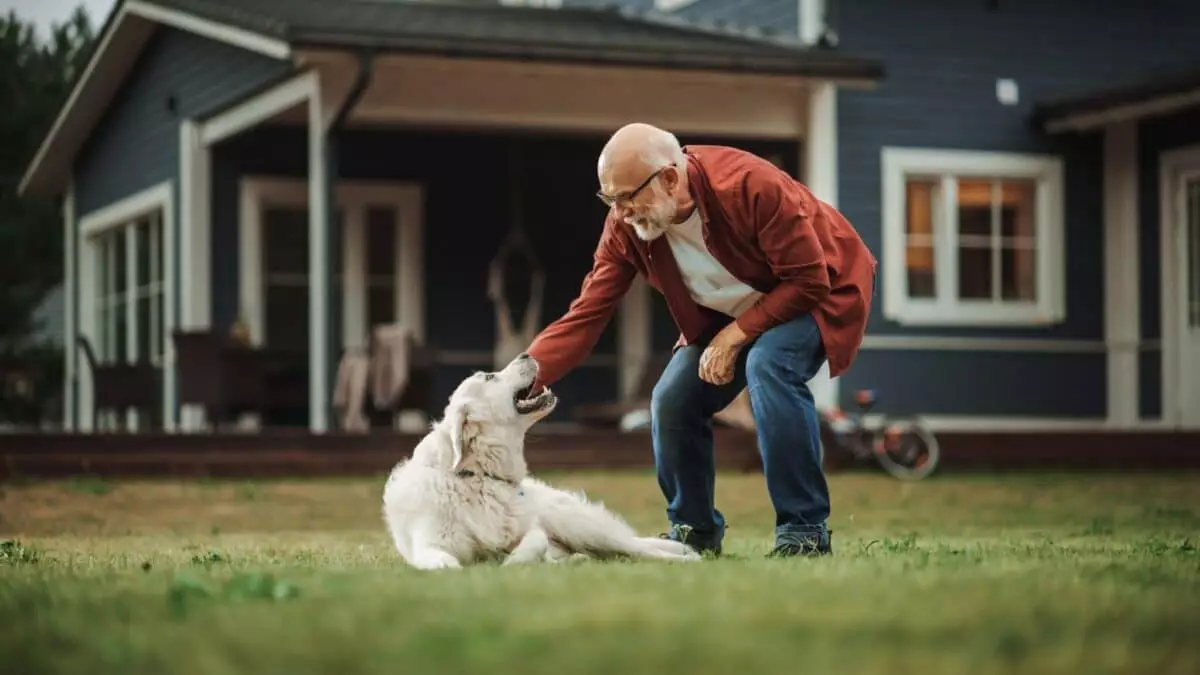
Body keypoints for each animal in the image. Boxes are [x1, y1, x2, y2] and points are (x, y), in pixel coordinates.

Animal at [381, 353, 700, 566]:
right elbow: (446, 565)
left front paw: (513, 563)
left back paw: (687, 559)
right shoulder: (428, 545)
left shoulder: (533, 529)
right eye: (489, 376)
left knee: (639, 549)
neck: (479, 477)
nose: (527, 354)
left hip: (581, 526)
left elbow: (533, 543)